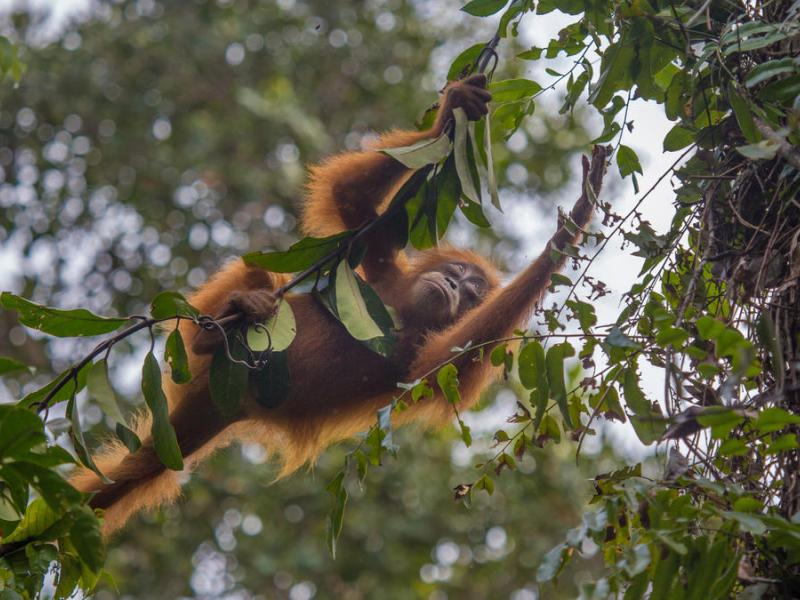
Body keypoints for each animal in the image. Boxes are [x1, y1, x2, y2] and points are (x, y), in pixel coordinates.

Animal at [71, 73, 609, 535]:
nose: (455, 289)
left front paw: (566, 234)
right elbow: (352, 205)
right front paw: (454, 112)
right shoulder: (383, 273)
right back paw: (225, 324)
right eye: (457, 277)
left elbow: (450, 362)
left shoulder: (424, 356)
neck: (405, 313)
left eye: (473, 295)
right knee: (261, 278)